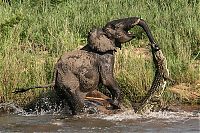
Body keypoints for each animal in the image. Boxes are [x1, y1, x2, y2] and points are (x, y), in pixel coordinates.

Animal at [14, 16, 158, 115]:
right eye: (115, 27)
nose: (155, 46)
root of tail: (55, 75)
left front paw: (114, 105)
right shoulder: (105, 57)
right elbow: (107, 79)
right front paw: (115, 105)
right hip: (69, 82)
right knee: (77, 102)